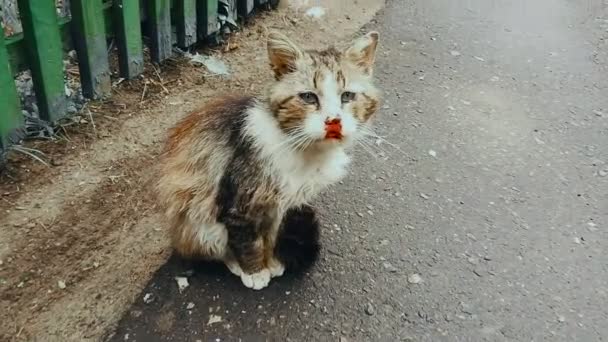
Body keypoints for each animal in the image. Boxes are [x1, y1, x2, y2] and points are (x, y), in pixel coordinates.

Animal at [159, 30, 382, 290]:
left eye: (347, 96)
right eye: (308, 97)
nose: (333, 121)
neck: (304, 151)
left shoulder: (282, 206)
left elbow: (271, 237)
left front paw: (273, 261)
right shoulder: (237, 203)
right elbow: (246, 240)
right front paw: (254, 271)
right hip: (195, 218)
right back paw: (233, 263)